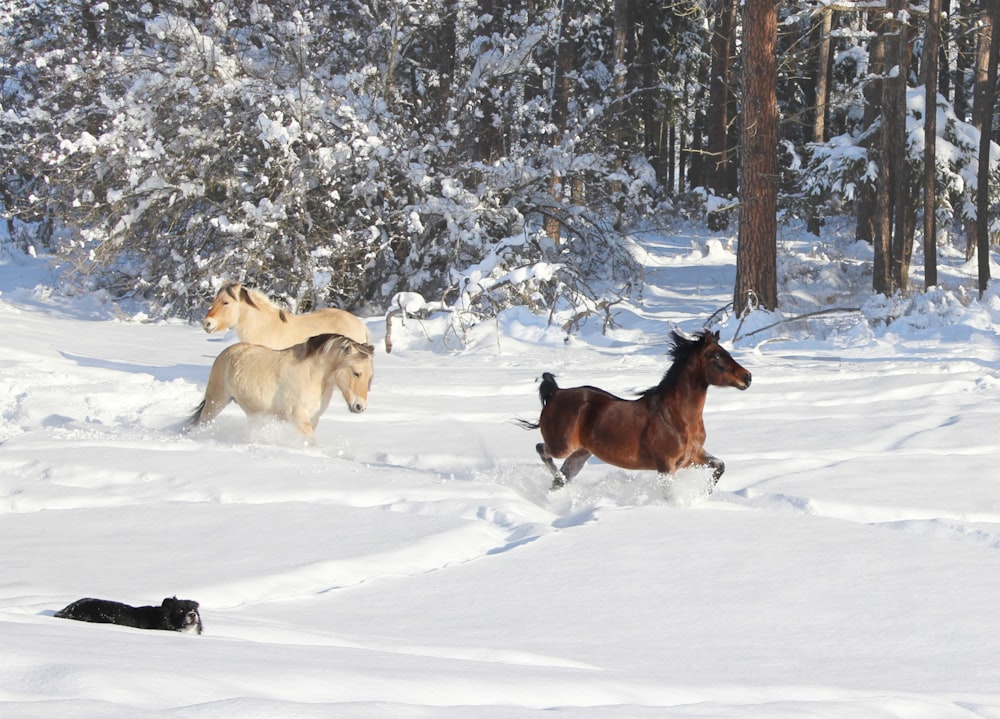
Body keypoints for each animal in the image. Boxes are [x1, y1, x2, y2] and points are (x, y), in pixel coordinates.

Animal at [188, 334, 376, 444]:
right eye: (356, 373)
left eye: (369, 376)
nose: (360, 407)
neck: (312, 376)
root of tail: (225, 353)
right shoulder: (298, 416)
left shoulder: (314, 418)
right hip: (216, 401)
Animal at [524, 330, 752, 490]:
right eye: (716, 356)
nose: (747, 377)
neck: (677, 417)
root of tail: (555, 393)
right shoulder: (666, 465)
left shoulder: (692, 457)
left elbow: (720, 466)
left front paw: (703, 494)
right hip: (563, 446)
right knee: (541, 449)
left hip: (581, 453)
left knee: (560, 478)